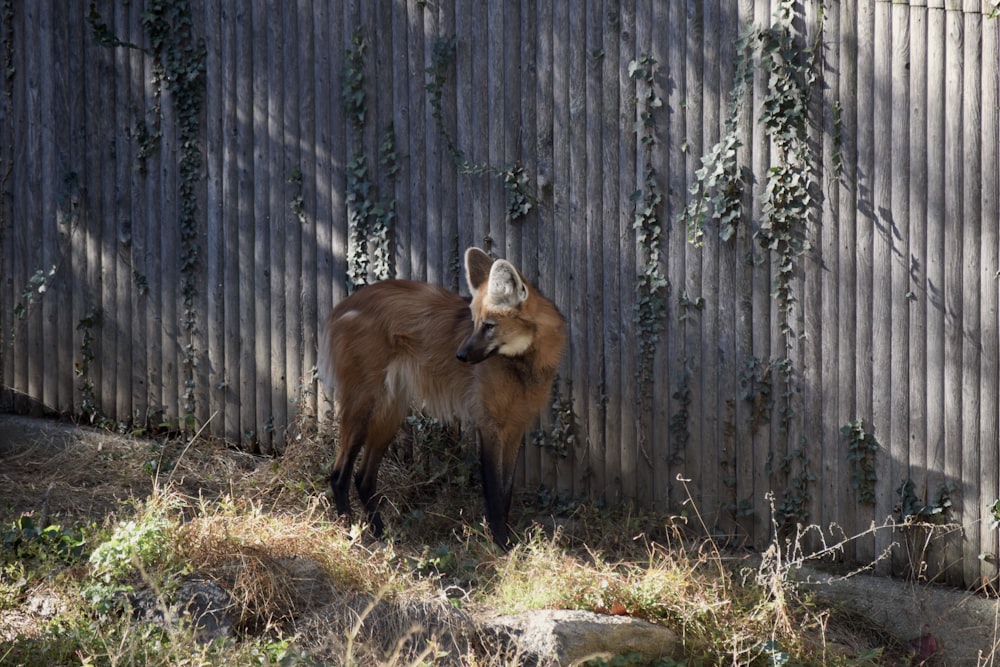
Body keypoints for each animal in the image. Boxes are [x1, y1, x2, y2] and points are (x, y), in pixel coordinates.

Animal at [320, 248, 572, 544]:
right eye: (474, 324)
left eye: (489, 326)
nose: (460, 356)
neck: (523, 362)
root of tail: (340, 306)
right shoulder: (489, 425)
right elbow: (495, 493)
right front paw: (501, 544)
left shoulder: (515, 426)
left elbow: (507, 491)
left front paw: (508, 540)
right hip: (364, 405)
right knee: (339, 474)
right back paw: (349, 531)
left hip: (391, 411)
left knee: (363, 477)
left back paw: (381, 534)